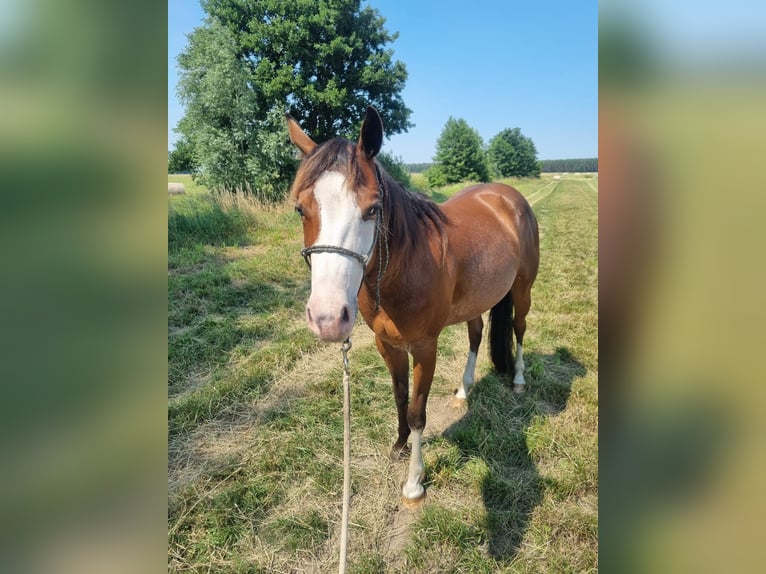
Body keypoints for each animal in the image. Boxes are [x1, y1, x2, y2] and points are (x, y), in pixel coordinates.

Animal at [286, 106, 539, 505]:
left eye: (373, 209)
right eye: (300, 209)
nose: (328, 318)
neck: (405, 267)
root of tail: (509, 196)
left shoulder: (424, 347)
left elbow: (419, 411)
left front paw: (414, 482)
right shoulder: (387, 345)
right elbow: (400, 397)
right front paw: (400, 446)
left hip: (522, 289)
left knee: (519, 328)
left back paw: (517, 380)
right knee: (476, 334)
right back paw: (464, 391)